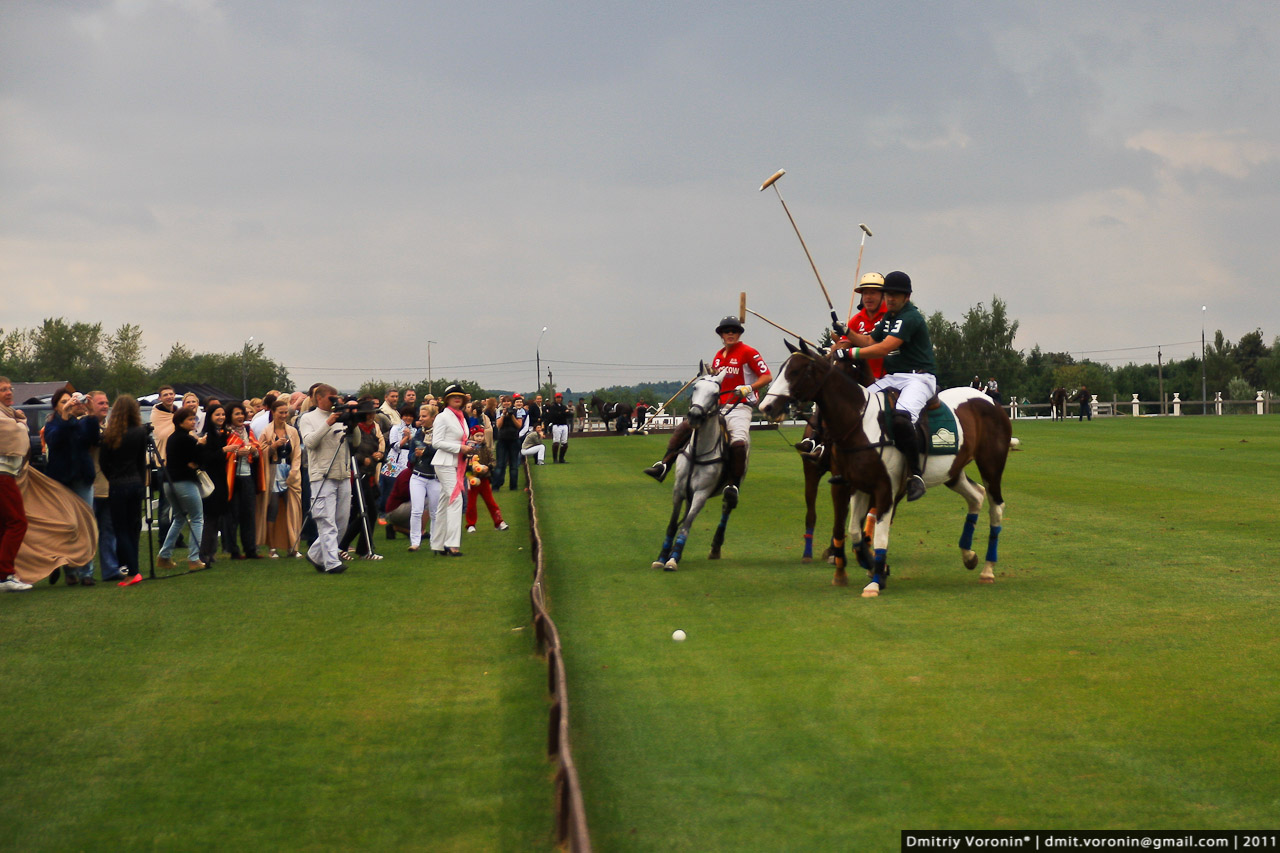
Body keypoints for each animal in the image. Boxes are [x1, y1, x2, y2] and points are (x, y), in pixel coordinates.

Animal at [652, 366, 737, 571]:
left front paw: (673, 559)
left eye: (715, 394)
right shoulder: (679, 489)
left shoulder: (701, 493)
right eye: (695, 388)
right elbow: (673, 523)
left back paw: (715, 547)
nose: (694, 416)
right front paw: (662, 556)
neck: (699, 450)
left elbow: (686, 525)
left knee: (728, 504)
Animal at [760, 341, 1011, 597]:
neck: (859, 424)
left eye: (796, 372)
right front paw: (870, 567)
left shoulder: (886, 489)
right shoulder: (855, 485)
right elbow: (854, 531)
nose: (766, 406)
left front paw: (875, 580)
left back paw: (988, 570)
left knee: (996, 506)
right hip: (952, 470)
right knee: (976, 495)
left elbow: (879, 534)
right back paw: (969, 555)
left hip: (991, 464)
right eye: (782, 369)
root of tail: (989, 401)